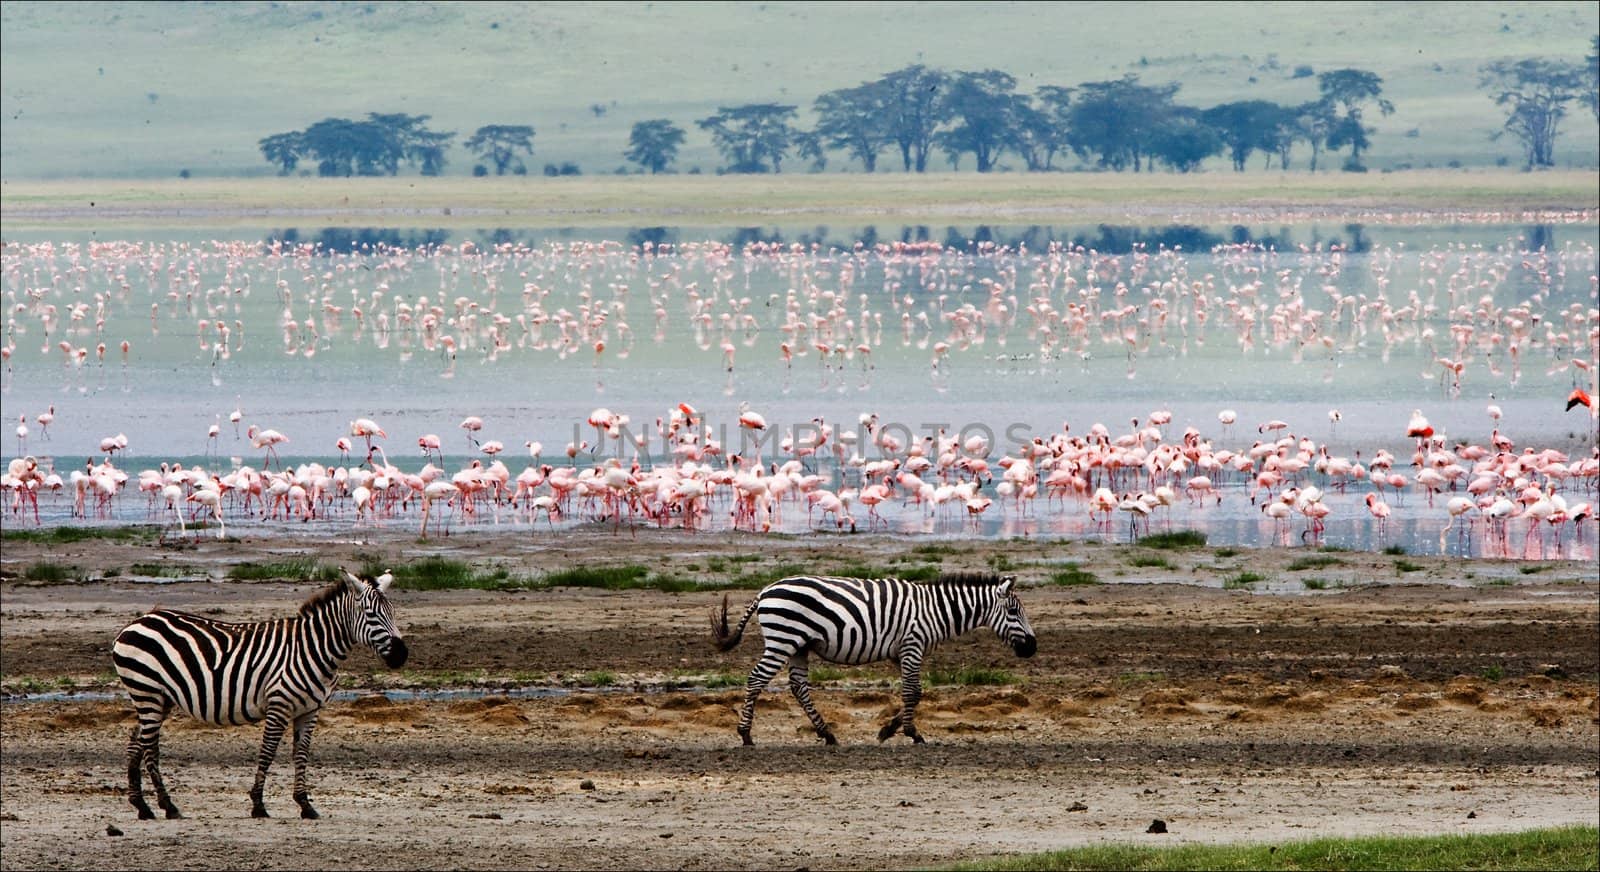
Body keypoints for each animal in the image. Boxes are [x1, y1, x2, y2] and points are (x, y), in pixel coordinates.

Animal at [112, 566, 406, 819]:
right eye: (370, 614)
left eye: (393, 612)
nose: (401, 655)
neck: (314, 648)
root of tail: (137, 621)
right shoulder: (279, 704)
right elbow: (268, 752)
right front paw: (258, 804)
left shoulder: (309, 710)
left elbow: (301, 754)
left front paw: (305, 805)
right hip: (147, 692)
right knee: (150, 748)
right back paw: (168, 806)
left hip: (159, 698)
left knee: (136, 743)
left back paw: (142, 806)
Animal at [713, 569, 1036, 742]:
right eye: (1013, 612)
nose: (1032, 648)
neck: (935, 610)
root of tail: (765, 590)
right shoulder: (912, 645)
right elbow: (911, 692)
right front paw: (911, 732)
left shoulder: (900, 651)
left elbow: (915, 692)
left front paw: (889, 729)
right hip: (783, 639)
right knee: (756, 679)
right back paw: (745, 734)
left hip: (799, 646)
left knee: (798, 686)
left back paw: (827, 733)